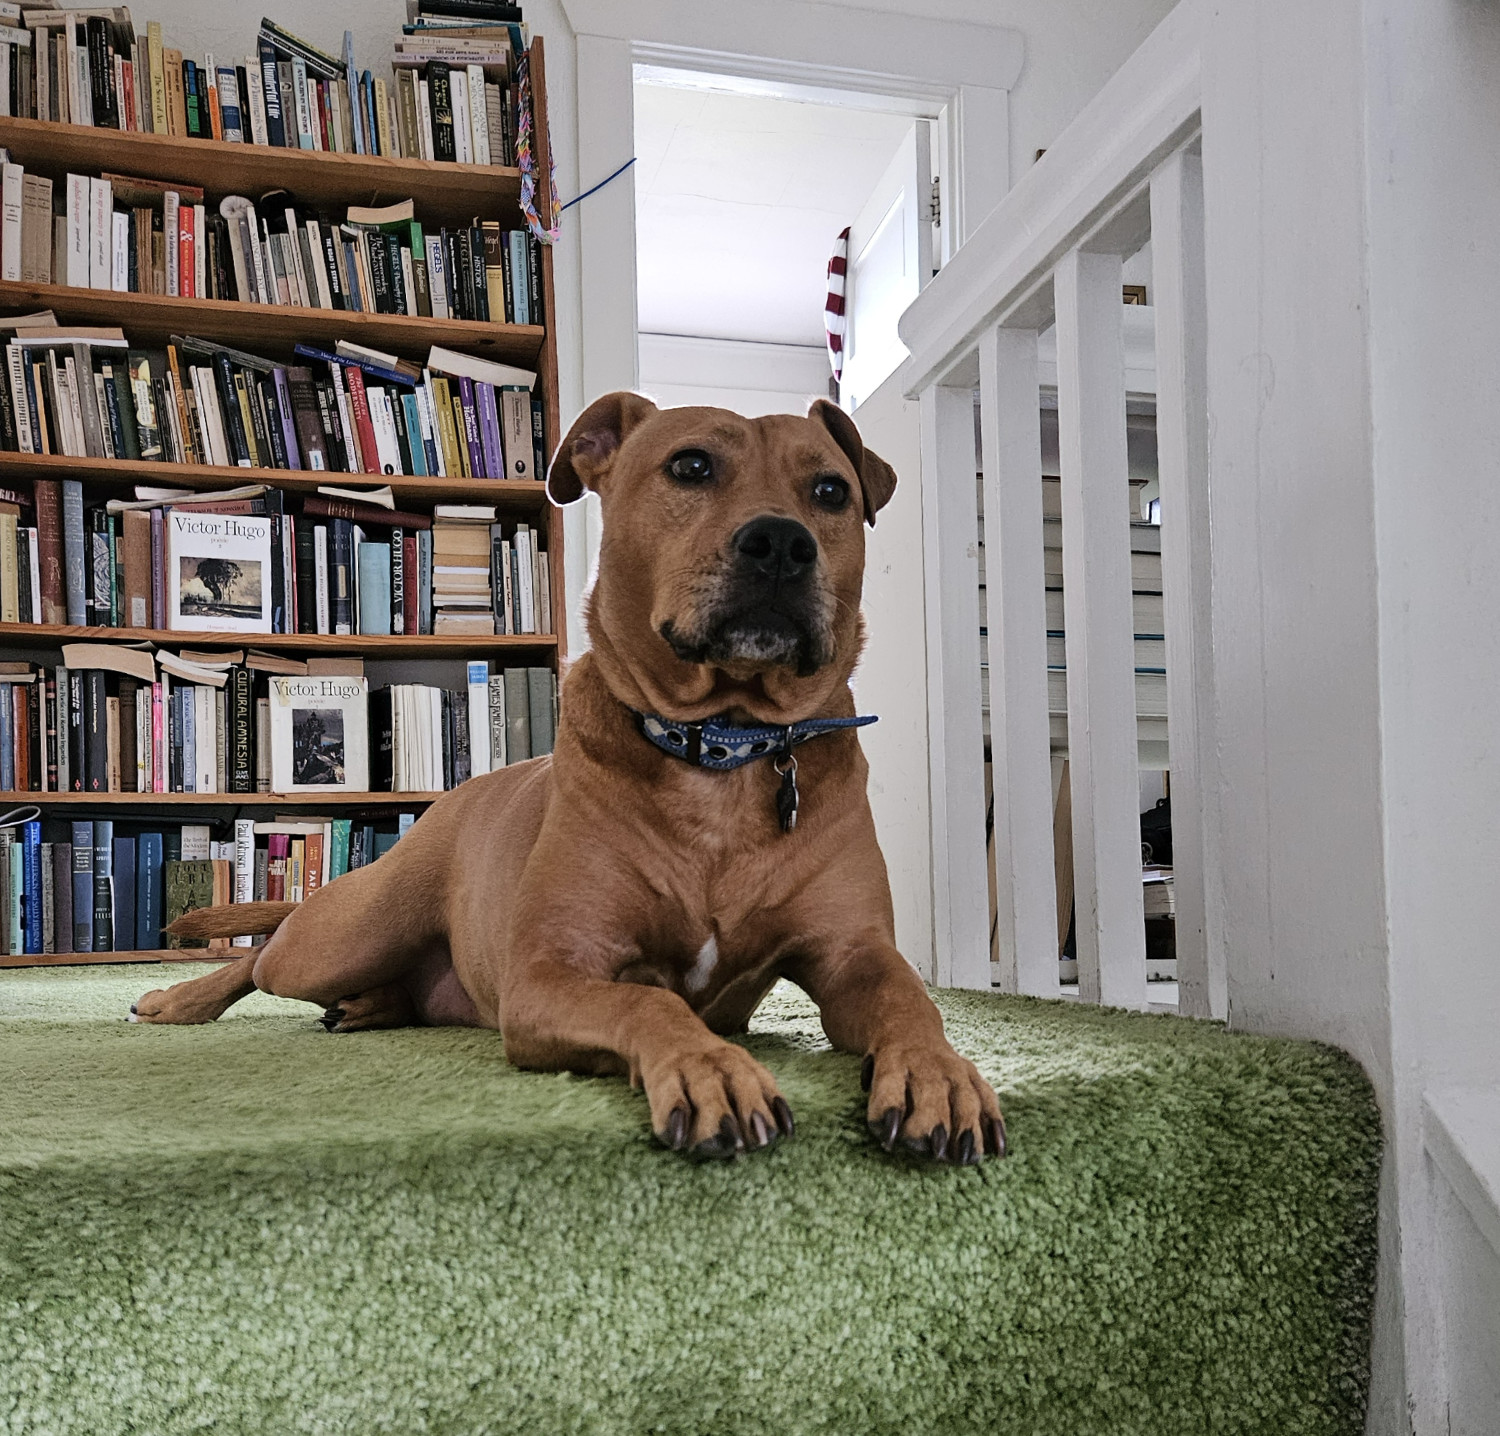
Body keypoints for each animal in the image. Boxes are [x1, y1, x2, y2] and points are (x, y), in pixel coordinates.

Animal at [138, 396, 1008, 1164]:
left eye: (830, 491)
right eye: (690, 466)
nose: (783, 543)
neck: (724, 747)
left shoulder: (856, 955)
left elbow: (912, 1002)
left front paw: (941, 1075)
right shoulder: (552, 974)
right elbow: (649, 998)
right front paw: (712, 1068)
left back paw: (370, 1007)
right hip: (347, 932)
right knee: (264, 956)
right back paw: (181, 1000)